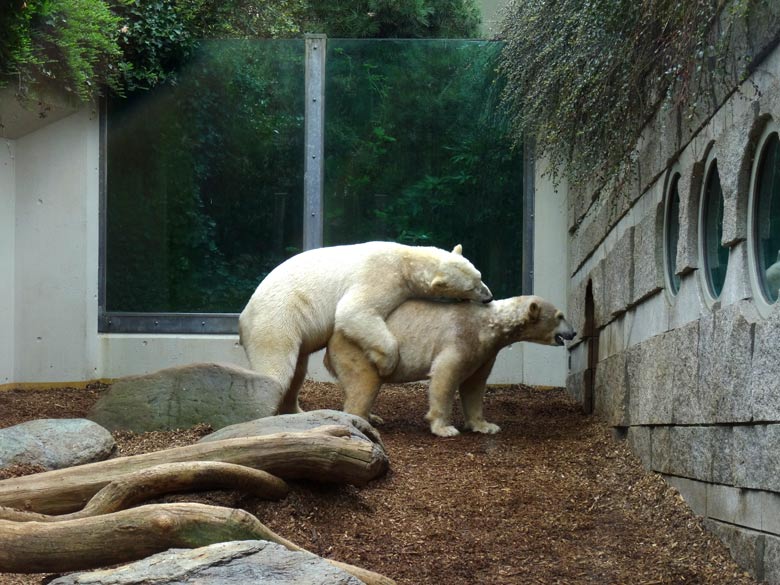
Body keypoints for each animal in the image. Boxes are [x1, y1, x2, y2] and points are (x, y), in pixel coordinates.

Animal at [239, 240, 494, 412]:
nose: (489, 297)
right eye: (471, 287)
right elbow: (354, 311)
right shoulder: (381, 275)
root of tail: (243, 317)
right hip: (276, 320)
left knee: (298, 372)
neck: (406, 259)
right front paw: (386, 363)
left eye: (480, 276)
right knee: (276, 367)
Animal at [322, 294, 572, 436]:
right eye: (560, 316)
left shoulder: (485, 352)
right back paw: (361, 421)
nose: (573, 332)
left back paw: (373, 417)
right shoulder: (459, 338)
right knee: (365, 384)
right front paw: (445, 428)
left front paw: (486, 426)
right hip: (360, 350)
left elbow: (475, 385)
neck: (488, 325)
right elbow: (445, 375)